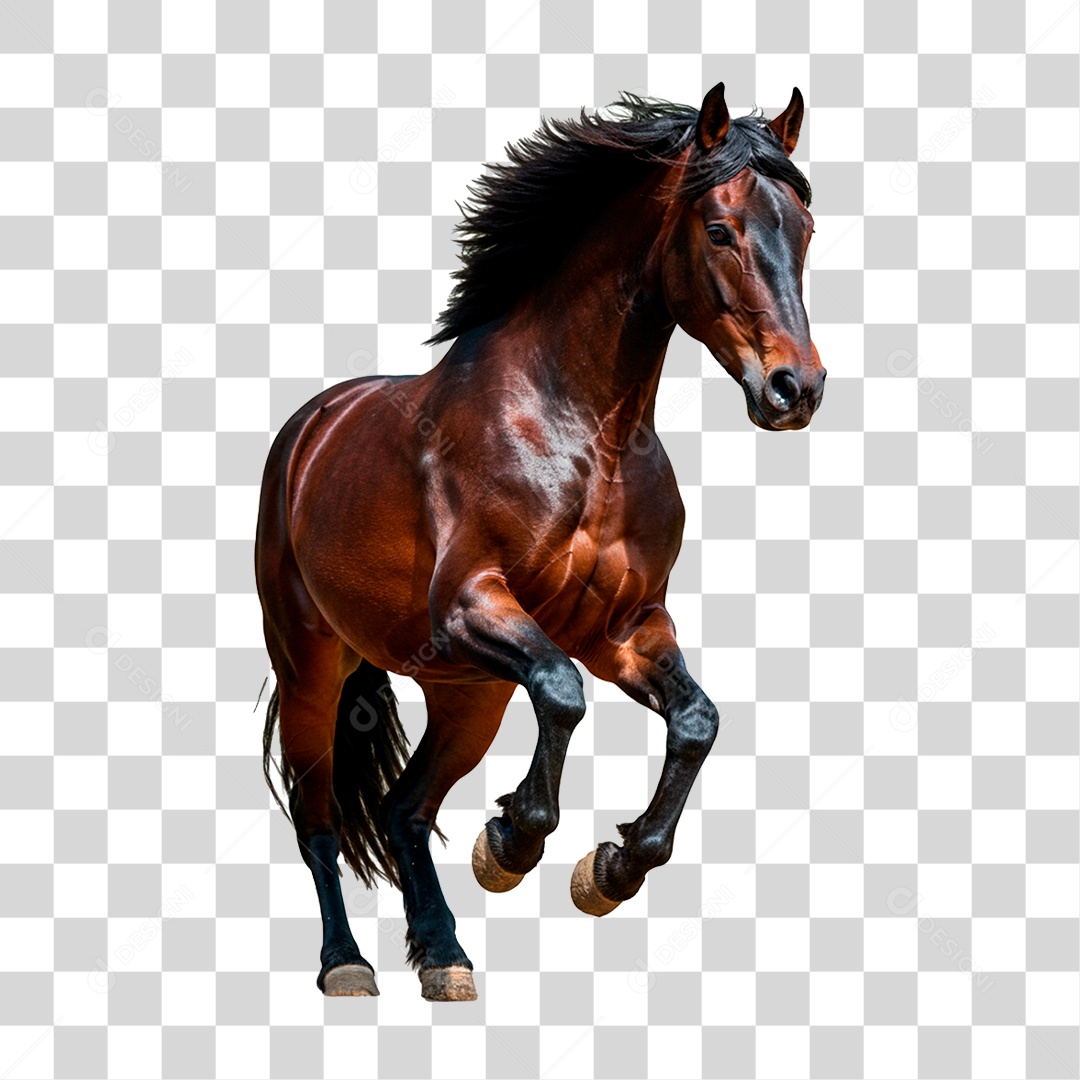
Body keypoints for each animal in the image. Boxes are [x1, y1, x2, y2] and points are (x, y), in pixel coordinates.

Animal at [255, 82, 825, 1001]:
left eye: (804, 227)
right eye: (719, 229)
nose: (795, 388)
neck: (584, 432)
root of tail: (312, 427)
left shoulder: (622, 630)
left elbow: (696, 720)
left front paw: (612, 867)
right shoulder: (474, 608)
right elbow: (562, 692)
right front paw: (514, 840)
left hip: (468, 694)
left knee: (403, 809)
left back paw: (444, 957)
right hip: (314, 667)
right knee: (321, 823)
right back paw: (346, 965)